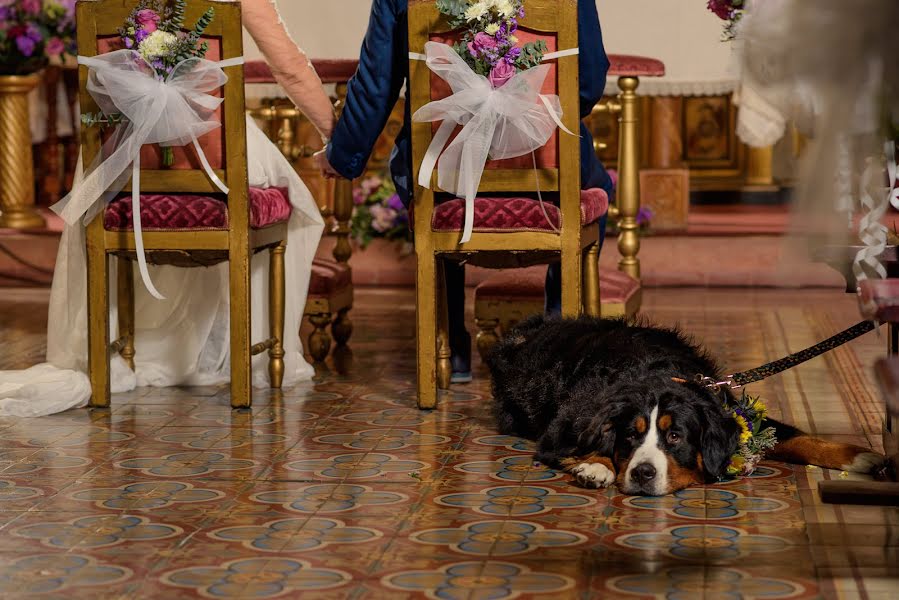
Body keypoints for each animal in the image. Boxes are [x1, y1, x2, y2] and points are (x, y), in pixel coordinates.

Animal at [486, 314, 884, 496]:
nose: (643, 473)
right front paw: (596, 467)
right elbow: (580, 446)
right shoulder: (564, 426)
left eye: (675, 436)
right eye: (630, 436)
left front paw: (866, 457)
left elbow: (803, 439)